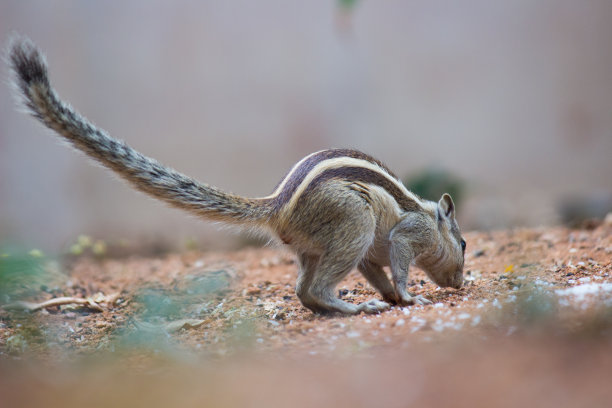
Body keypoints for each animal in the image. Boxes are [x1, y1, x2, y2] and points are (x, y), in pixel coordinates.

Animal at [5, 35, 464, 316]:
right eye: (462, 243)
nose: (459, 284)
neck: (429, 215)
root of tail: (277, 207)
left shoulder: (370, 256)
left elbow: (378, 275)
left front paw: (391, 297)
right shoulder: (406, 235)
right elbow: (399, 264)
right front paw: (407, 295)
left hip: (321, 246)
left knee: (304, 289)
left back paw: (335, 308)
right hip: (354, 225)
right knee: (316, 287)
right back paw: (351, 307)